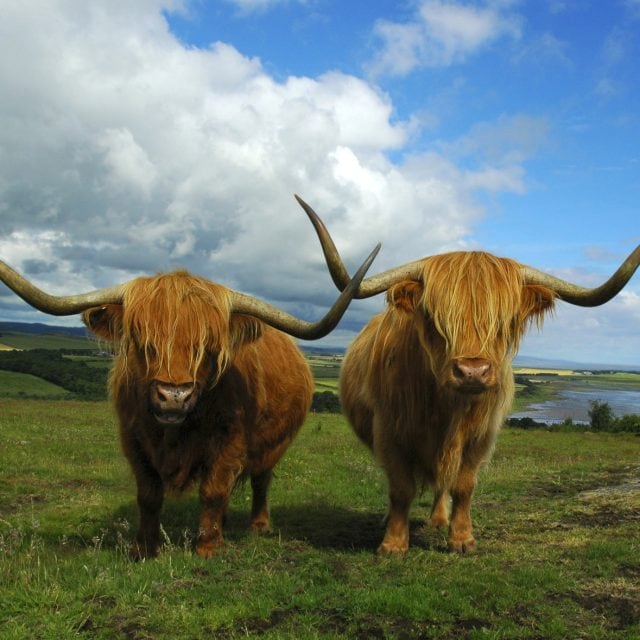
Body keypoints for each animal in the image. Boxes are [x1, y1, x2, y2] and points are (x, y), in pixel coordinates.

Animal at [0, 236, 379, 559]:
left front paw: (208, 547)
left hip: (274, 444)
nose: (173, 396)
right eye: (142, 340)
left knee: (261, 479)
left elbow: (213, 490)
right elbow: (149, 495)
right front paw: (144, 549)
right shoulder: (132, 438)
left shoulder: (231, 439)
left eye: (209, 346)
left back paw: (258, 525)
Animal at [295, 195, 640, 554]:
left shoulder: (481, 436)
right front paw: (393, 544)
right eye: (434, 317)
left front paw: (461, 539)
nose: (473, 371)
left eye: (505, 321)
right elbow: (401, 488)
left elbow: (463, 485)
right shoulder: (389, 430)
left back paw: (438, 518)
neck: (447, 408)